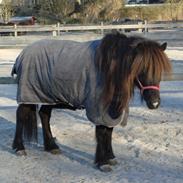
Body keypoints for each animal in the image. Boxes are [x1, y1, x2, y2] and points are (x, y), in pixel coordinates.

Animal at [11, 31, 172, 172]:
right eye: (141, 69)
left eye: (159, 71)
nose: (154, 103)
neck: (110, 70)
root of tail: (22, 54)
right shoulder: (98, 107)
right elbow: (101, 133)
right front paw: (102, 162)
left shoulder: (110, 109)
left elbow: (109, 132)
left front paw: (110, 157)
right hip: (28, 95)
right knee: (21, 115)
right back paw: (19, 148)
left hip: (49, 97)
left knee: (44, 115)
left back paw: (52, 147)